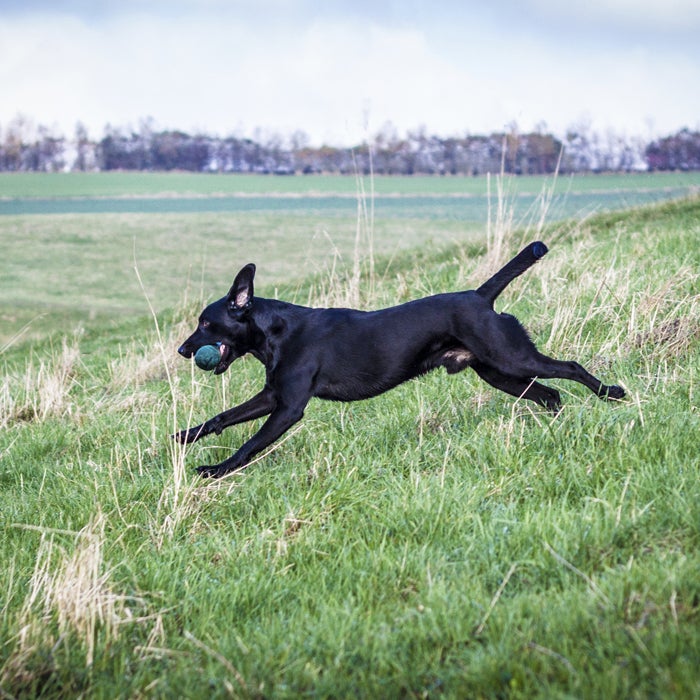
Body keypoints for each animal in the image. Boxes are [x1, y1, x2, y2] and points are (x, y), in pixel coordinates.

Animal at [175, 241, 624, 476]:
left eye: (206, 323)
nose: (182, 349)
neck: (275, 331)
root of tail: (480, 297)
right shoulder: (273, 395)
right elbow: (223, 417)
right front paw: (185, 435)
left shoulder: (288, 407)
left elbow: (250, 443)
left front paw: (216, 471)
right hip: (499, 373)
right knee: (550, 395)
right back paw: (557, 428)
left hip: (511, 358)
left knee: (570, 369)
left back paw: (611, 392)